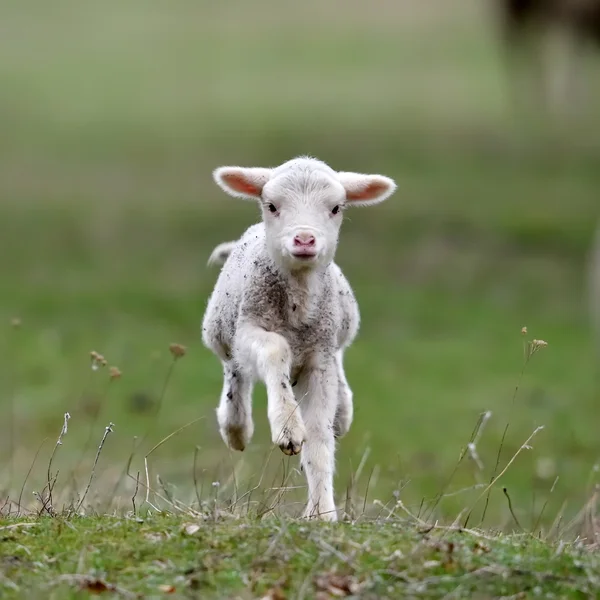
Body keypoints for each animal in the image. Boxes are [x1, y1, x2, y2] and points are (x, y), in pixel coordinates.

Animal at [202, 155, 398, 520]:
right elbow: (274, 350)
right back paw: (235, 427)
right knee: (234, 373)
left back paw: (342, 411)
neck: (299, 305)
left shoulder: (320, 358)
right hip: (221, 330)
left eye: (336, 208)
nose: (305, 240)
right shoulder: (250, 329)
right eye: (271, 205)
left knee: (339, 367)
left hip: (340, 324)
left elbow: (320, 437)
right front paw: (288, 428)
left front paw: (322, 513)